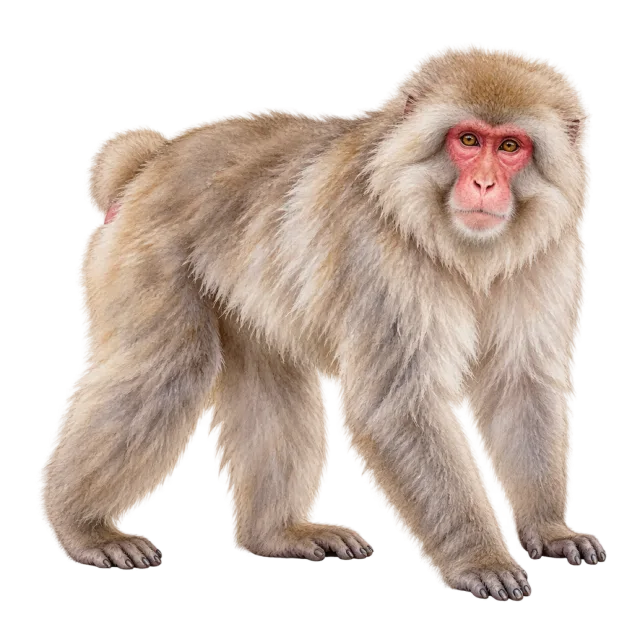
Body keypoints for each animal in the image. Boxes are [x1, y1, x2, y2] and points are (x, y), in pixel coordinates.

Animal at [39, 43, 606, 599]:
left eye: (510, 147)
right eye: (467, 140)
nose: (485, 183)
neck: (459, 246)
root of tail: (155, 158)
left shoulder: (548, 258)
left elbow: (520, 384)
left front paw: (551, 529)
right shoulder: (377, 254)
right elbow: (397, 406)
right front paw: (481, 560)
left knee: (270, 385)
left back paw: (276, 535)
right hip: (148, 254)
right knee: (167, 368)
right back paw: (81, 529)